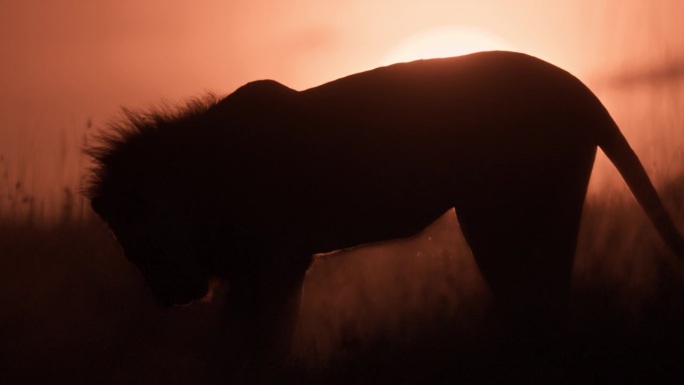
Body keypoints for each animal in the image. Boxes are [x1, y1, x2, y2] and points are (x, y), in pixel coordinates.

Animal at [87, 51, 684, 380]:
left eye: (139, 240)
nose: (171, 296)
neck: (201, 184)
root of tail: (575, 85)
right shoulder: (255, 271)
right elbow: (232, 347)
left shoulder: (279, 263)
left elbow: (264, 343)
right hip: (557, 200)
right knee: (551, 301)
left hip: (492, 209)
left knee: (526, 303)